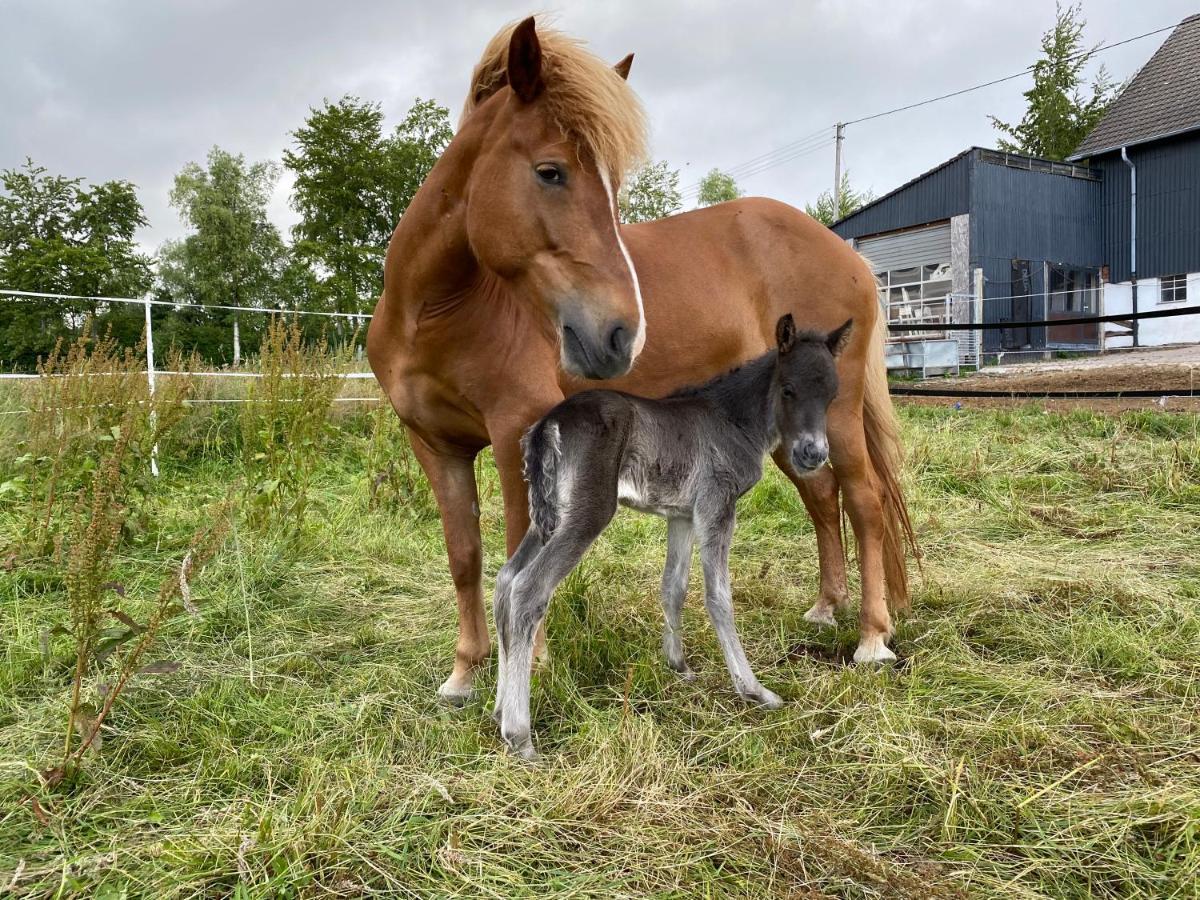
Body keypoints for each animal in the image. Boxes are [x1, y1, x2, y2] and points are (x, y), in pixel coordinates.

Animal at [369, 15, 912, 705]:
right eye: (550, 171)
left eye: (613, 186)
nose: (621, 333)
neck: (441, 310)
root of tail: (847, 254)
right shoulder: (435, 445)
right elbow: (464, 556)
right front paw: (465, 673)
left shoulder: (517, 430)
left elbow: (520, 547)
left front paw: (530, 665)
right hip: (793, 434)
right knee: (822, 496)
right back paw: (825, 608)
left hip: (834, 418)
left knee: (865, 502)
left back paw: (872, 637)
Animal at [492, 314, 849, 758]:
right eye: (788, 389)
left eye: (832, 394)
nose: (813, 454)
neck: (732, 419)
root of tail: (548, 424)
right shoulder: (717, 505)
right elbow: (718, 596)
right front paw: (753, 690)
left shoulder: (681, 516)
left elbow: (673, 587)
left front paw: (677, 665)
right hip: (586, 514)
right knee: (528, 590)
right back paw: (519, 735)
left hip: (547, 517)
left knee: (505, 580)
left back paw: (498, 709)